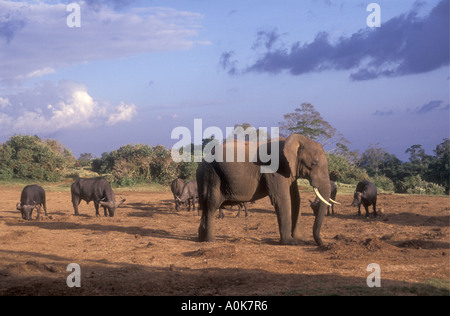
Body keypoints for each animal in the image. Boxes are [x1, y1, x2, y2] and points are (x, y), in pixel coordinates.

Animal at [198, 133, 334, 247]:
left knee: (205, 206)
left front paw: (300, 240)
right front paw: (290, 243)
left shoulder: (289, 170)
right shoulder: (275, 169)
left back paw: (200, 238)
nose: (324, 245)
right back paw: (211, 240)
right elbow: (282, 199)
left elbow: (296, 198)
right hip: (211, 175)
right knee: (211, 205)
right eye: (314, 164)